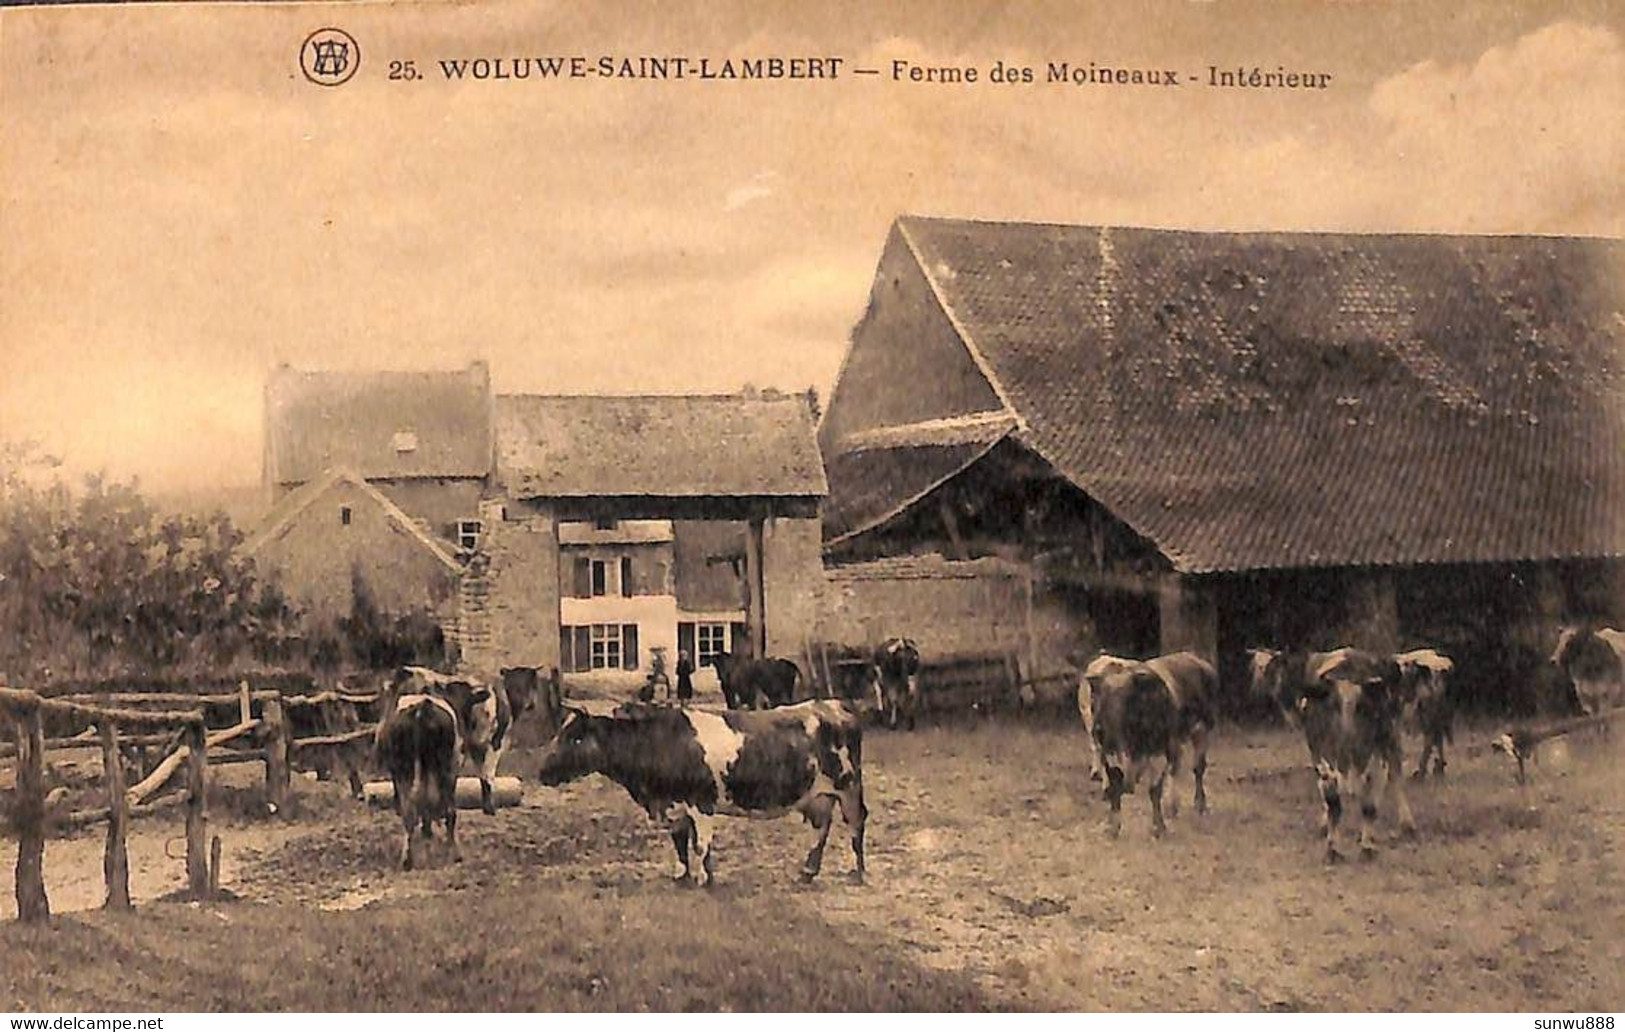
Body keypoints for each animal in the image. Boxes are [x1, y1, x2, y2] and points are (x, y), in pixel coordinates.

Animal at [536, 695, 871, 890]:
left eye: (576, 739)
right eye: (559, 734)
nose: (541, 772)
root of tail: (834, 704)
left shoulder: (701, 802)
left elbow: (701, 844)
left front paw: (703, 879)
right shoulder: (675, 806)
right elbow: (681, 842)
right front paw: (683, 876)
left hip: (849, 786)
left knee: (856, 824)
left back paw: (857, 872)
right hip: (819, 795)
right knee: (821, 830)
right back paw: (807, 872)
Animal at [1391, 650, 1456, 780]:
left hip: (1426, 712)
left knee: (1430, 739)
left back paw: (1420, 774)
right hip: (1437, 714)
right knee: (1437, 737)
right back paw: (1437, 770)